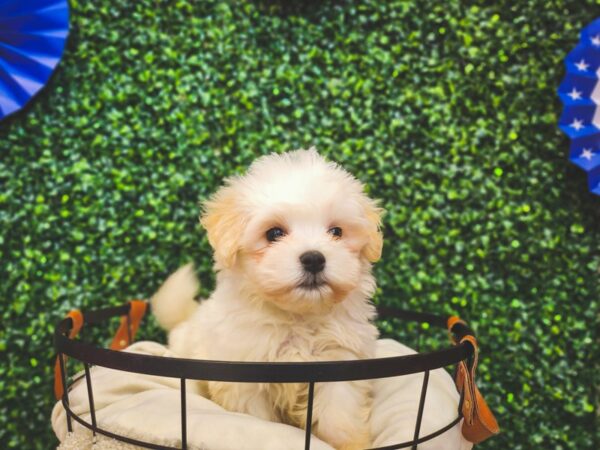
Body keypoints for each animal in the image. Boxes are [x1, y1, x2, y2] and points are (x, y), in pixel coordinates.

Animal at [152, 149, 382, 450]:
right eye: (274, 233)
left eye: (336, 232)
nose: (314, 258)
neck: (297, 317)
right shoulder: (246, 379)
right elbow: (260, 422)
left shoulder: (340, 363)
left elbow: (339, 417)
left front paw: (351, 444)